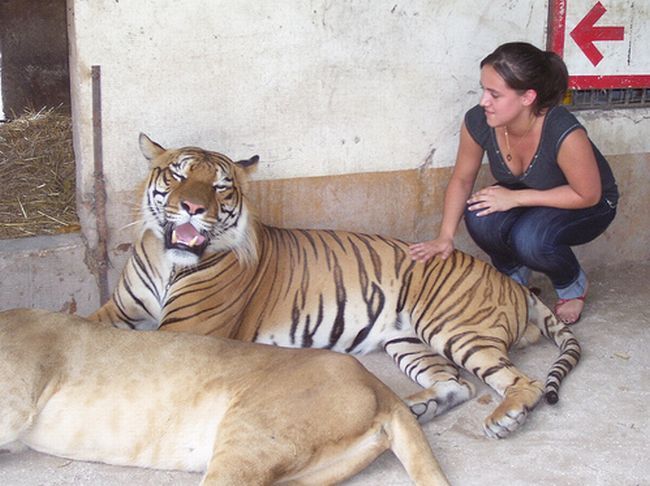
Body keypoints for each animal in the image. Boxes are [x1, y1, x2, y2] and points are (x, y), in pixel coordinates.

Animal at [88, 134, 580, 440]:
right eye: (176, 175)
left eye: (221, 187)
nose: (192, 208)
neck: (166, 260)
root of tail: (513, 284)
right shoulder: (120, 311)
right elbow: (87, 327)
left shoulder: (187, 330)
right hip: (408, 341)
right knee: (456, 384)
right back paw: (412, 409)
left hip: (455, 330)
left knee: (519, 382)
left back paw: (505, 417)